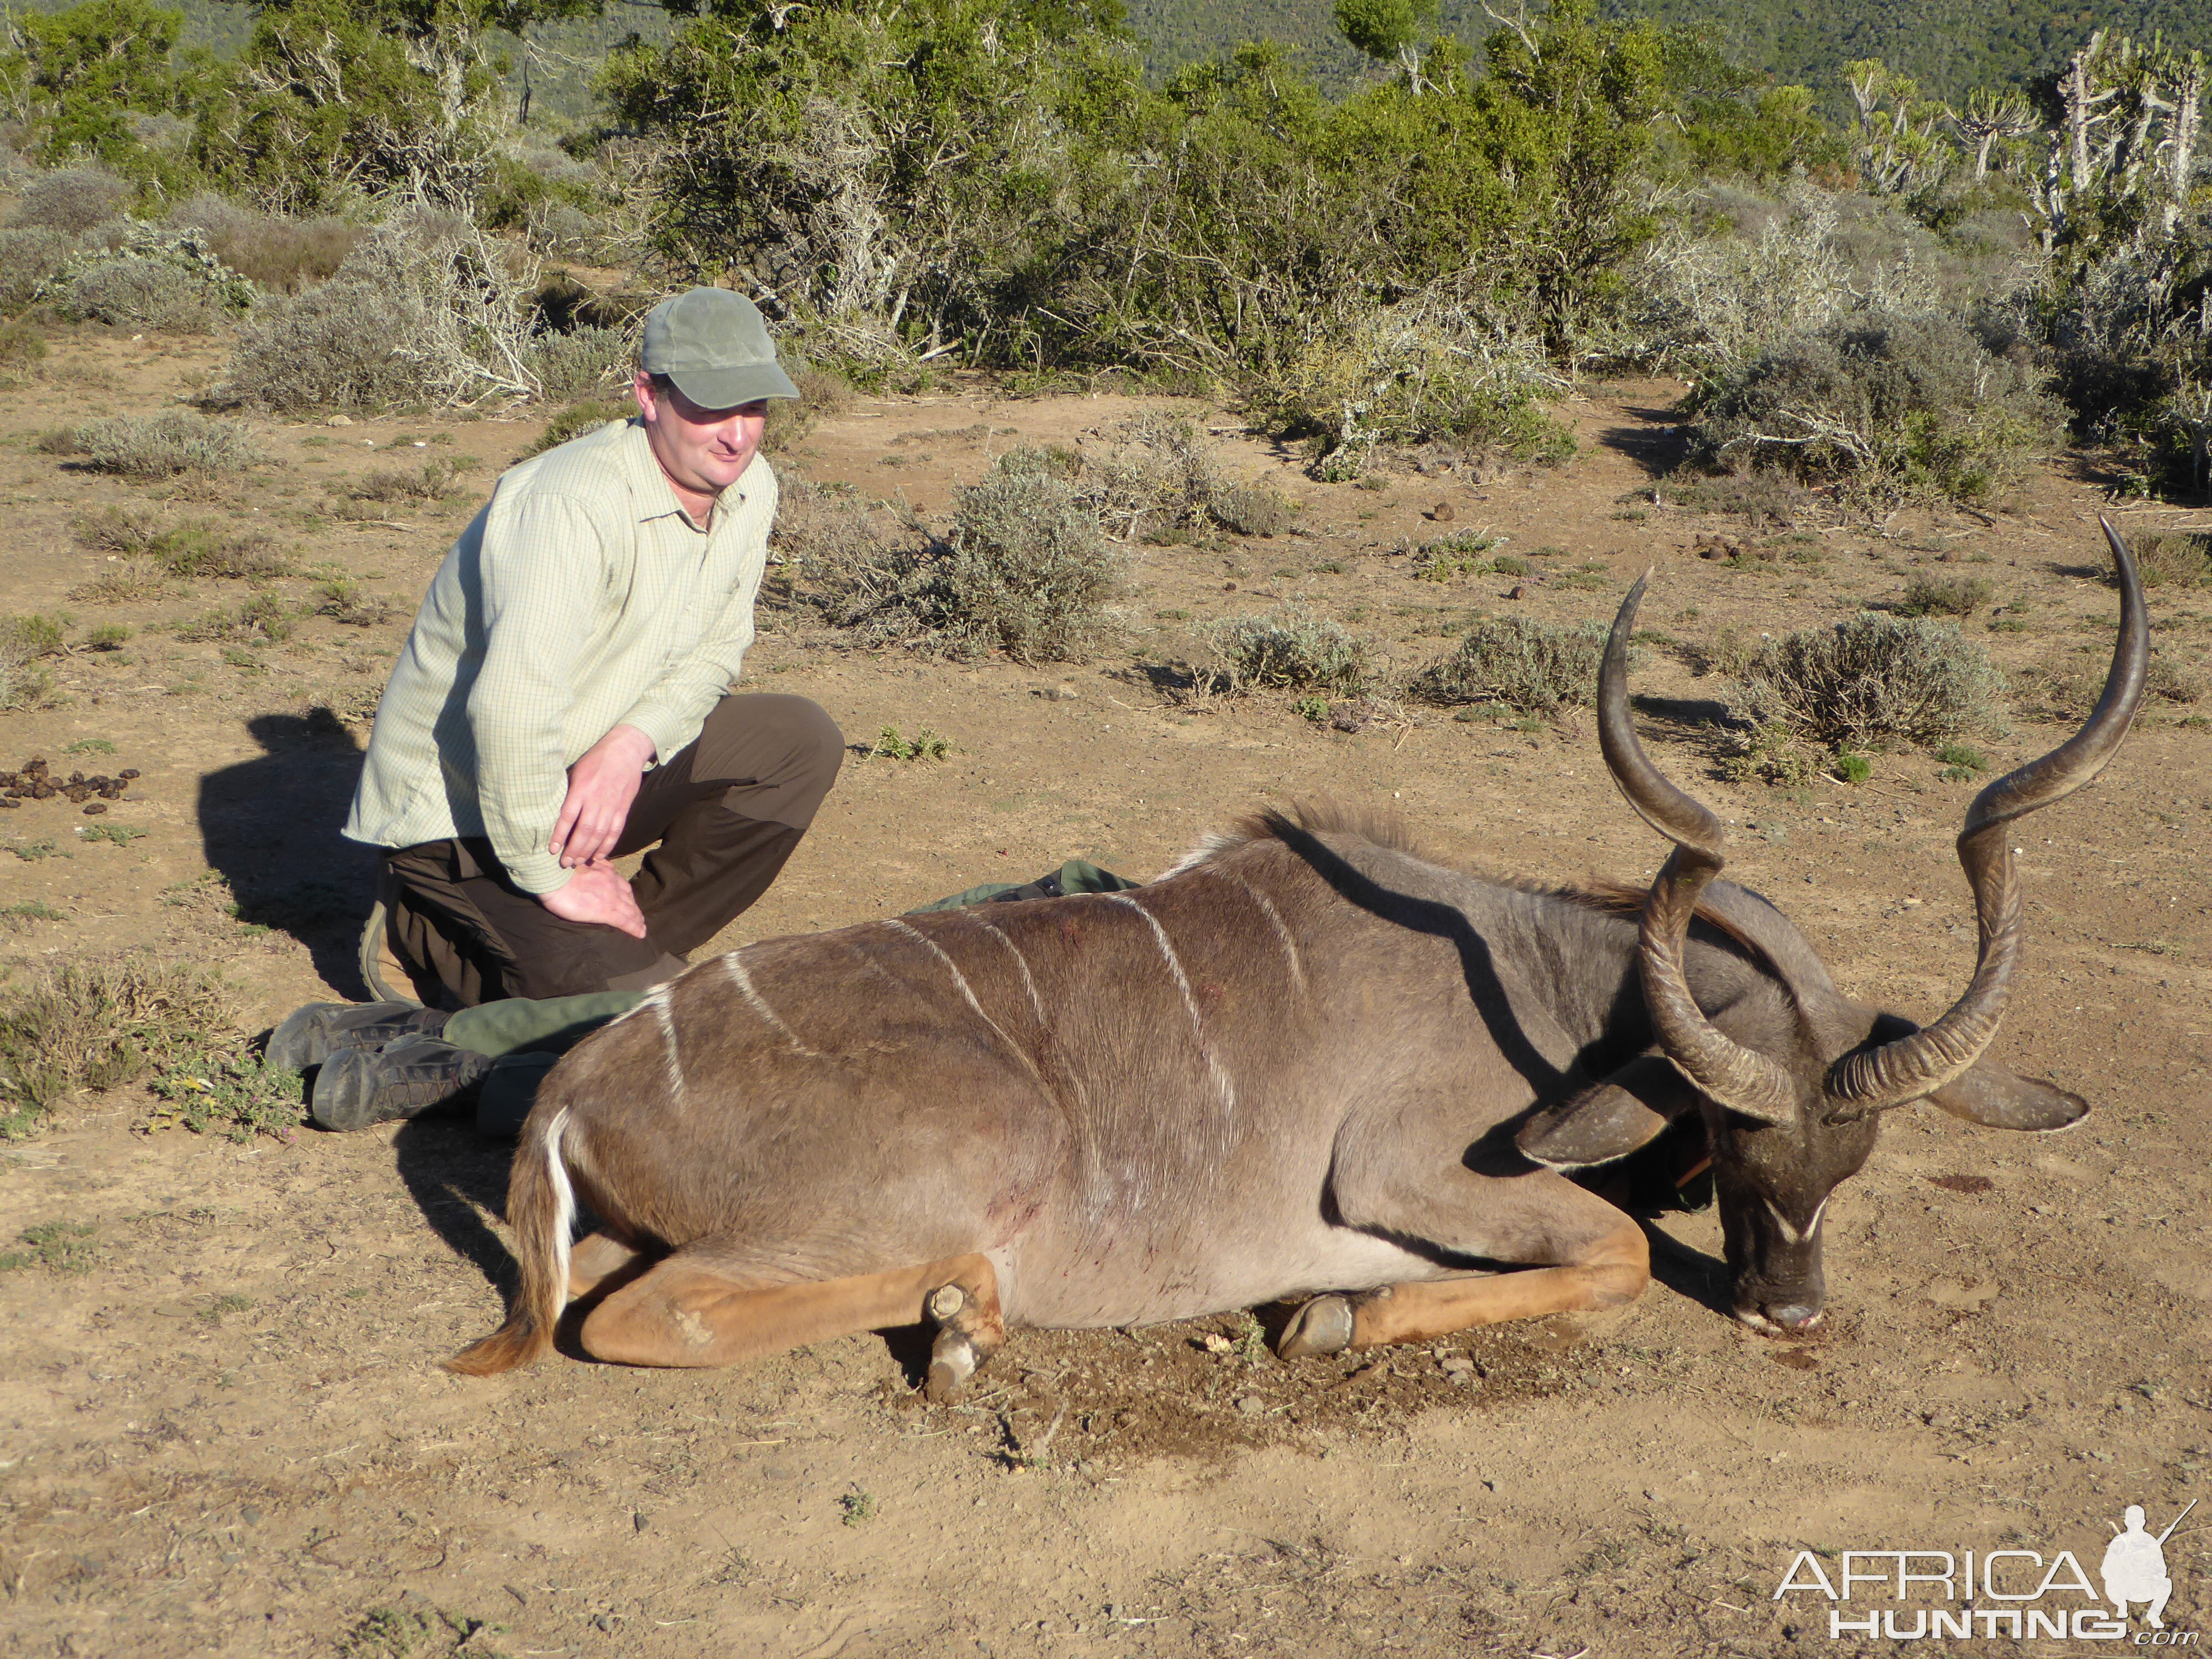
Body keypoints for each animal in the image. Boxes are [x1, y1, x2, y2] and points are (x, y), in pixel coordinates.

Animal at [449, 529, 2141, 1389]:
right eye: (1733, 1139)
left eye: (1858, 1159)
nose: (1791, 1313)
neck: (1530, 980)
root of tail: (579, 1088)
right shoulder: (1400, 1167)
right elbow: (1605, 1252)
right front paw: (1333, 1312)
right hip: (973, 1151)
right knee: (633, 1317)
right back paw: (966, 1319)